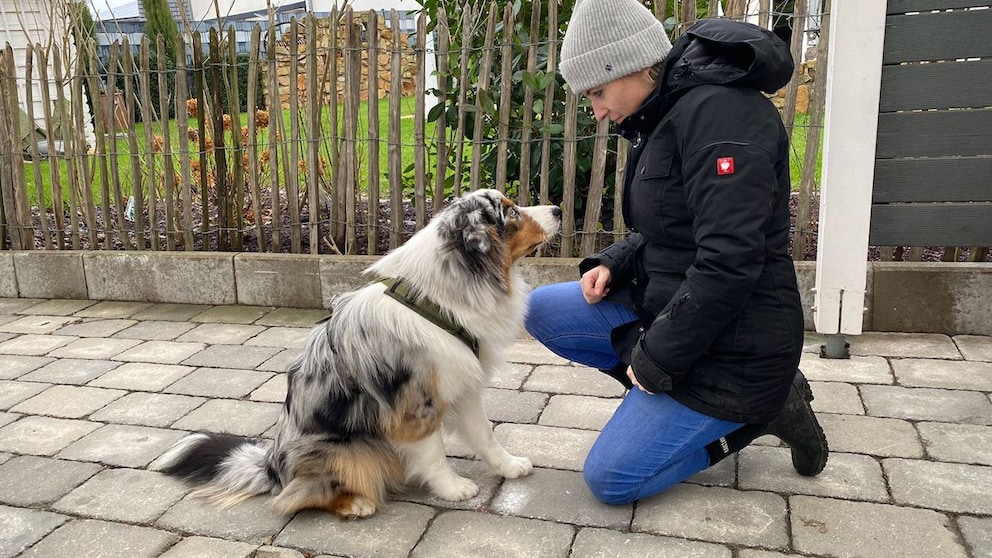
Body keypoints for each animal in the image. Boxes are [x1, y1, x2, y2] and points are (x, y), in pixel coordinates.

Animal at [155, 190, 560, 524]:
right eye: (511, 213)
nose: (557, 208)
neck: (439, 298)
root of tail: (271, 466)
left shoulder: (462, 386)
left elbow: (485, 435)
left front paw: (509, 467)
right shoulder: (414, 404)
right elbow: (433, 454)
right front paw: (453, 488)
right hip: (345, 450)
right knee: (292, 499)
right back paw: (355, 504)